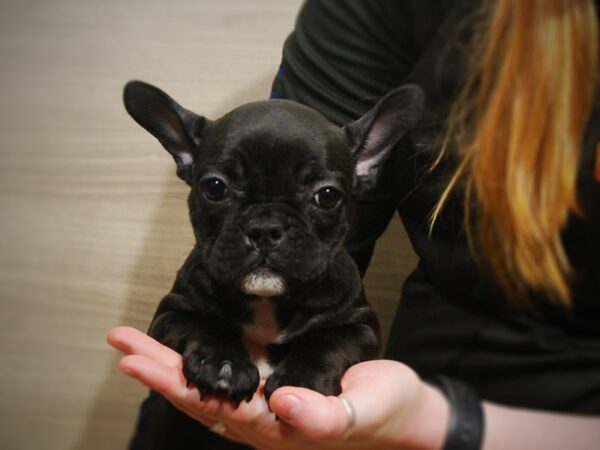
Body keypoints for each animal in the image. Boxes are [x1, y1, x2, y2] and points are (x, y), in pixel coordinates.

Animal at [123, 81, 422, 450]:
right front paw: (223, 364)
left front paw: (302, 377)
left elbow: (329, 342)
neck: (267, 303)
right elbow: (203, 323)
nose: (265, 227)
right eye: (214, 187)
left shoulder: (360, 325)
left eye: (327, 196)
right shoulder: (173, 310)